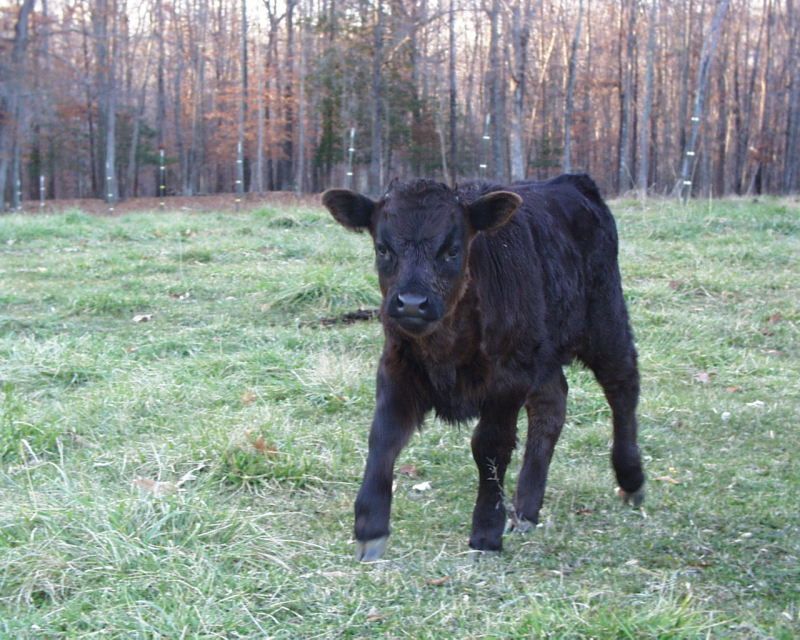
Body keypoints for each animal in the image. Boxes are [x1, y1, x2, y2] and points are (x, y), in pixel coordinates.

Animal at [321, 174, 645, 561]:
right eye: (383, 248)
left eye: (452, 250)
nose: (412, 303)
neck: (446, 346)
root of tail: (571, 182)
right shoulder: (397, 365)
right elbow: (383, 436)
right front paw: (370, 526)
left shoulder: (509, 377)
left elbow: (490, 445)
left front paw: (486, 531)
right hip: (542, 350)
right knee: (552, 405)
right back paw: (526, 508)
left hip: (604, 319)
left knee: (622, 386)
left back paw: (631, 478)